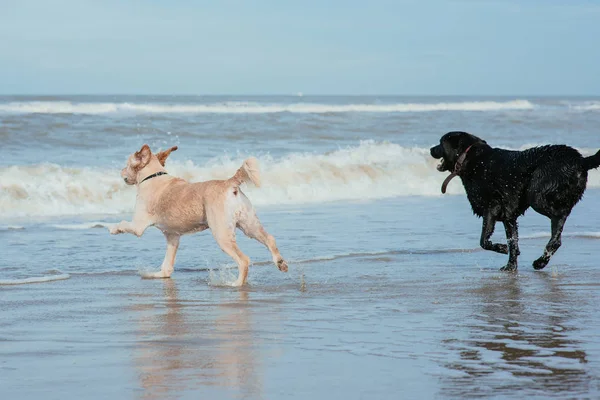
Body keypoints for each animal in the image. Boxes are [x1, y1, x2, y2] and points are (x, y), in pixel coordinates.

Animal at [110, 143, 288, 284]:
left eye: (127, 165)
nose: (120, 171)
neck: (152, 176)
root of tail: (229, 182)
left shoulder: (138, 226)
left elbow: (122, 224)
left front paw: (112, 228)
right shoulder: (173, 236)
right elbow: (167, 265)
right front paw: (157, 274)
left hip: (222, 234)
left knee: (244, 260)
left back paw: (236, 284)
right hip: (249, 225)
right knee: (270, 239)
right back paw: (280, 262)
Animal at [432, 131, 600, 272]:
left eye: (440, 142)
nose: (431, 149)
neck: (470, 159)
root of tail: (581, 161)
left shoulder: (492, 206)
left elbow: (484, 241)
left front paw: (501, 249)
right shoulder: (509, 216)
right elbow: (512, 242)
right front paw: (510, 266)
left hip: (537, 194)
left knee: (559, 217)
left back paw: (540, 261)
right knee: (557, 236)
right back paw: (542, 261)